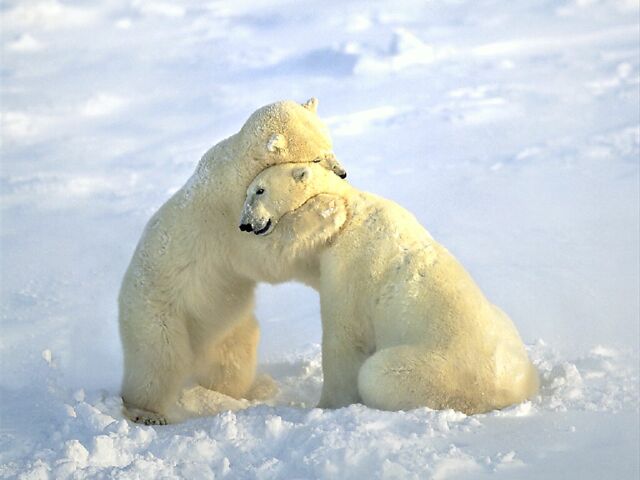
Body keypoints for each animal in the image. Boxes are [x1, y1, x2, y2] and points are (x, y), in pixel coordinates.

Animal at [119, 98, 349, 425]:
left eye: (330, 146)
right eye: (316, 158)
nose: (343, 174)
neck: (237, 166)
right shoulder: (229, 220)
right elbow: (268, 256)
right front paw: (328, 208)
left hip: (225, 324)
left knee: (233, 357)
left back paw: (249, 389)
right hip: (157, 315)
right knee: (158, 362)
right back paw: (146, 412)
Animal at [239, 162, 539, 414]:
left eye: (260, 190)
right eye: (249, 191)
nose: (245, 224)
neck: (352, 208)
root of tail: (509, 391)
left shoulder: (349, 266)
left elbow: (344, 339)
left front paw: (325, 405)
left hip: (437, 371)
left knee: (376, 374)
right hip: (504, 327)